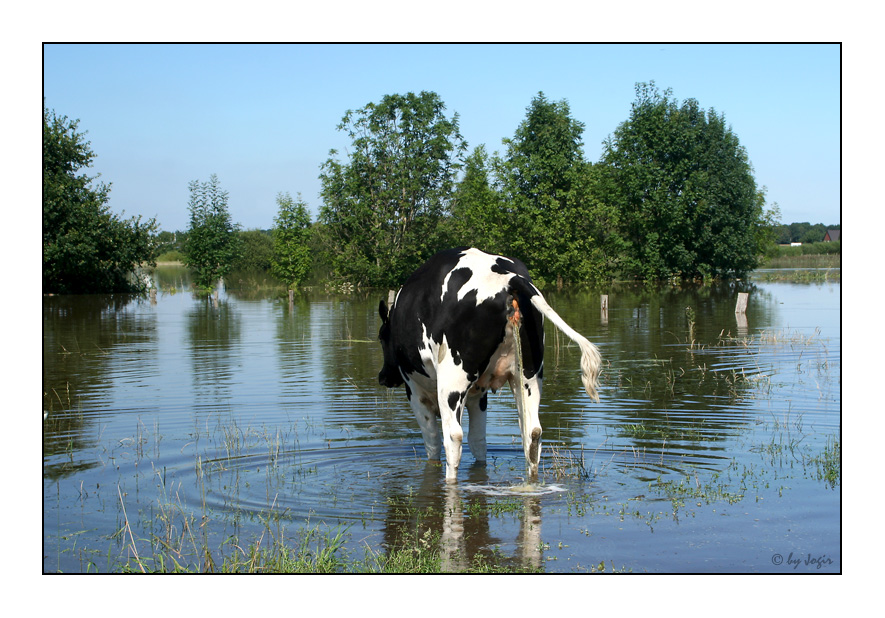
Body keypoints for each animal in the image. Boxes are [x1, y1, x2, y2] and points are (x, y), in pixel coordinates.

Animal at [374, 247, 600, 482]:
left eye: (381, 337)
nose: (383, 377)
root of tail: (509, 277)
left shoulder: (414, 390)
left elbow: (432, 444)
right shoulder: (478, 394)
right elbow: (478, 442)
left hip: (451, 382)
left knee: (453, 437)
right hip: (528, 375)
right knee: (532, 433)